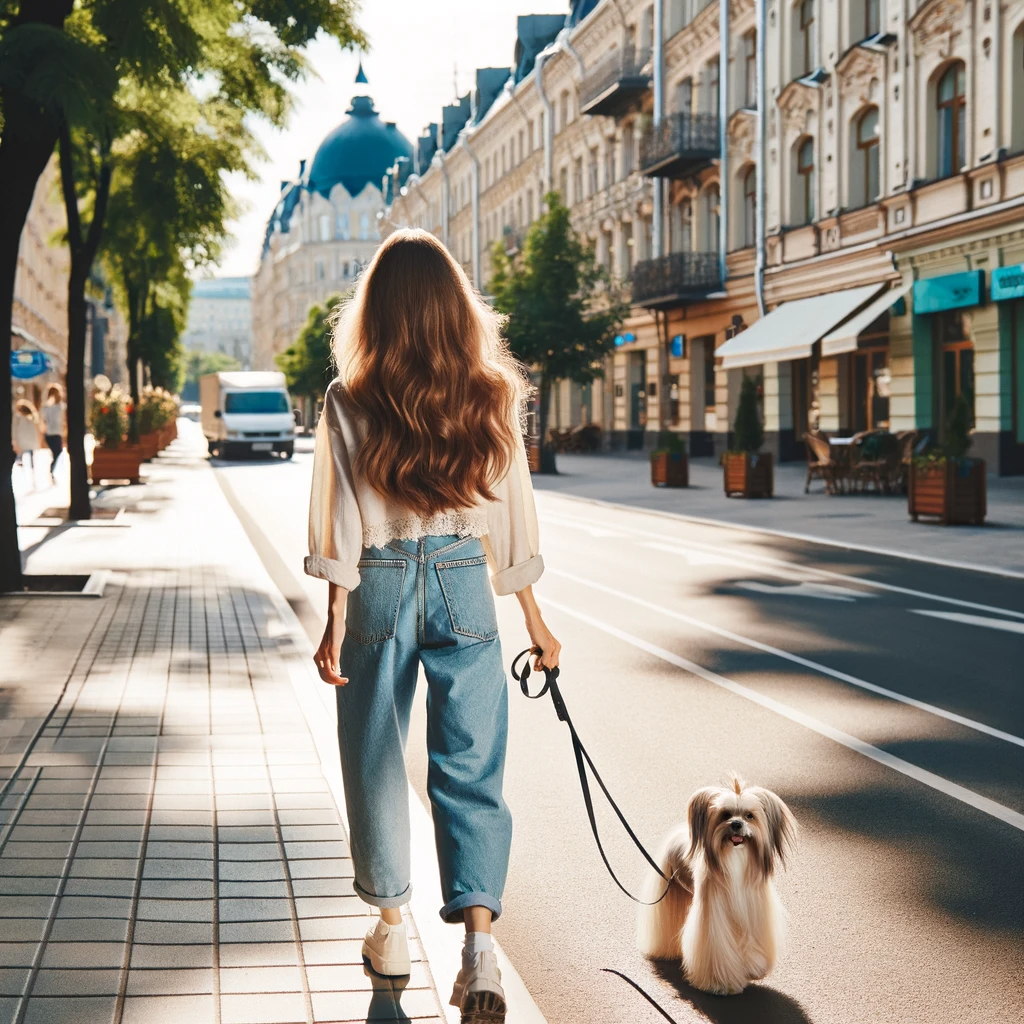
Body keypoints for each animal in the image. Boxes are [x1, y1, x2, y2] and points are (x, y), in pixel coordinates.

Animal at [634, 770, 794, 995]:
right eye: (725, 814)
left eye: (749, 815)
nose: (736, 824)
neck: (735, 858)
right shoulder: (713, 914)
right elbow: (716, 947)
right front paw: (720, 983)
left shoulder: (753, 908)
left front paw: (754, 968)